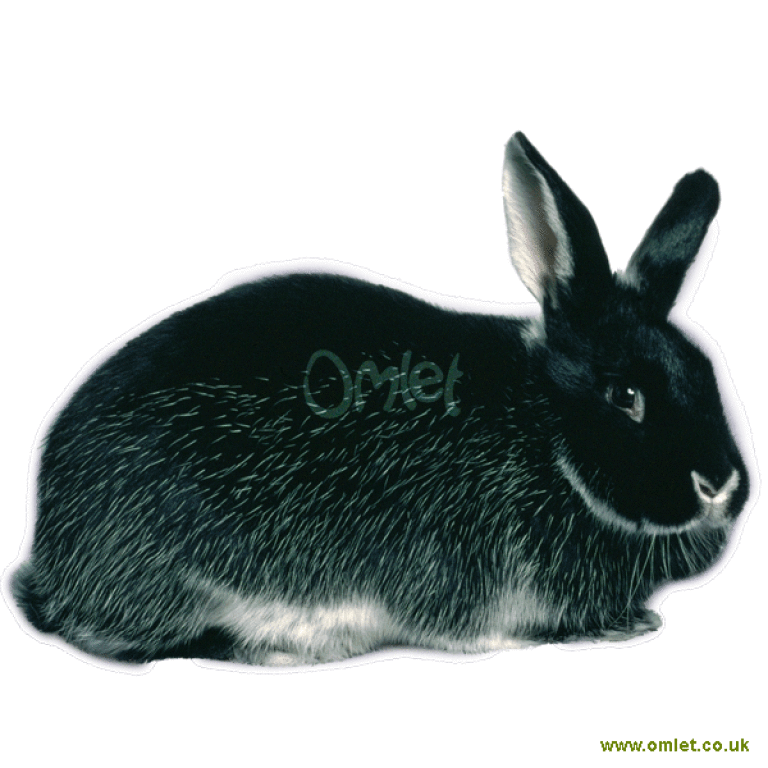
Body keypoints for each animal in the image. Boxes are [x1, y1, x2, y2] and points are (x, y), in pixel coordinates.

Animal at [11, 132, 749, 666]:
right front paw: (611, 630)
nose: (722, 487)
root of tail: (49, 552)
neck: (542, 434)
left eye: (705, 373)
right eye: (625, 396)